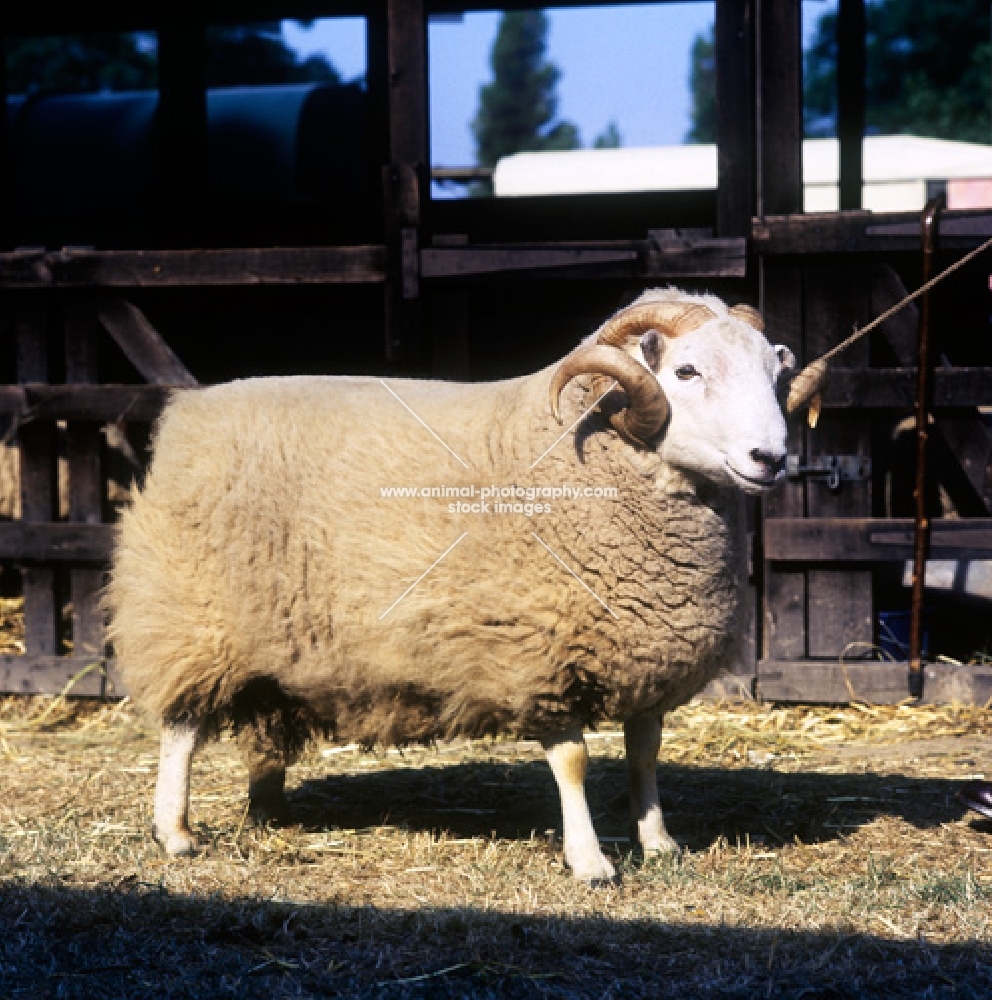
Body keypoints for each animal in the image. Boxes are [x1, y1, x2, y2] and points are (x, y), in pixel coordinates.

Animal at [108, 288, 796, 884]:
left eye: (775, 374)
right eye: (686, 372)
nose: (771, 459)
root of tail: (188, 410)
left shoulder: (648, 651)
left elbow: (645, 750)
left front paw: (658, 842)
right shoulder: (536, 651)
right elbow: (572, 760)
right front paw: (590, 862)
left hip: (271, 632)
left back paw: (269, 811)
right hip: (191, 611)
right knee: (180, 729)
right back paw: (175, 832)